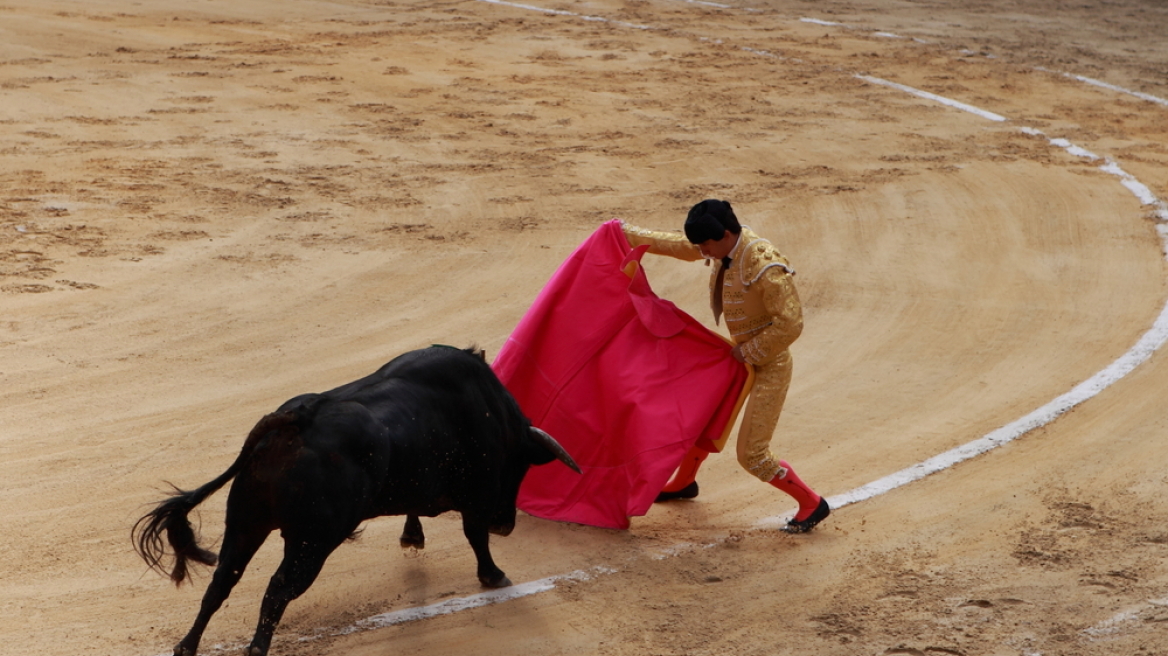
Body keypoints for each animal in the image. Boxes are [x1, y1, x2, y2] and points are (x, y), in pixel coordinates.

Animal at [134, 345, 581, 653]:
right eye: (520, 466)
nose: (505, 524)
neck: (492, 413)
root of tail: (294, 421)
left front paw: (412, 536)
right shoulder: (476, 498)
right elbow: (475, 536)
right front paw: (494, 575)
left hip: (246, 522)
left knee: (222, 581)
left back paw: (186, 646)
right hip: (312, 542)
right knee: (278, 590)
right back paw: (256, 648)